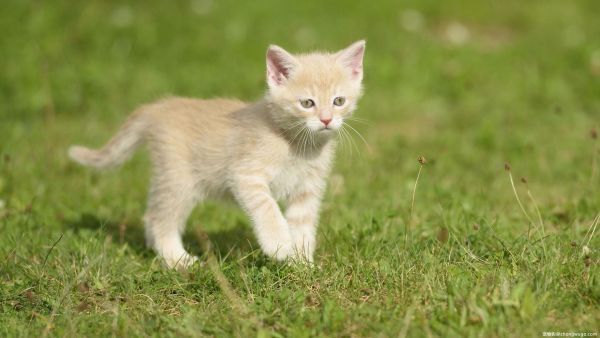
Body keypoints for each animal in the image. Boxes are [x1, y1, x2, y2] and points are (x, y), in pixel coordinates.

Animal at [68, 39, 364, 268]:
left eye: (338, 101)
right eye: (307, 103)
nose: (326, 120)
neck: (299, 145)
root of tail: (159, 107)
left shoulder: (307, 189)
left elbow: (302, 225)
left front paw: (301, 265)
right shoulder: (245, 175)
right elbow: (267, 206)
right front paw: (279, 244)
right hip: (178, 179)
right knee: (158, 219)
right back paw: (178, 261)